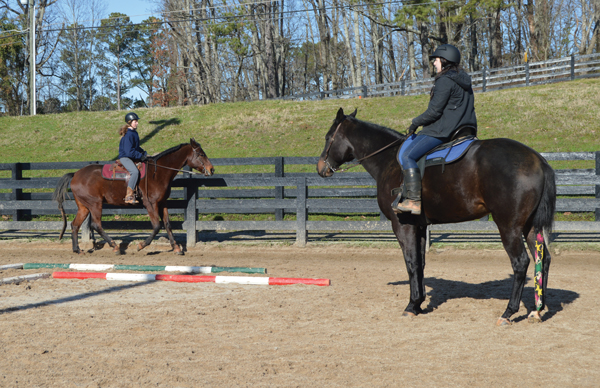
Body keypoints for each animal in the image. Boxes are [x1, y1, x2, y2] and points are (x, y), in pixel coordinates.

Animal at [52, 139, 214, 255]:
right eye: (201, 154)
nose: (211, 169)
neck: (158, 173)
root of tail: (75, 174)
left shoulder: (162, 203)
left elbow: (167, 224)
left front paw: (177, 248)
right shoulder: (150, 204)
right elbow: (157, 226)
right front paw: (141, 245)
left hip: (84, 206)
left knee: (75, 225)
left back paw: (77, 249)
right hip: (95, 204)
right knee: (96, 225)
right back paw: (115, 246)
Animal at [316, 107, 556, 326]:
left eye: (328, 137)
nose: (320, 168)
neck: (389, 160)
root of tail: (537, 160)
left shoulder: (402, 225)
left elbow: (411, 262)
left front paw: (412, 305)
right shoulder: (420, 226)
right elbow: (420, 263)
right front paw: (419, 303)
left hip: (509, 226)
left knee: (521, 262)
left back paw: (508, 312)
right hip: (530, 226)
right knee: (543, 260)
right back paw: (537, 310)